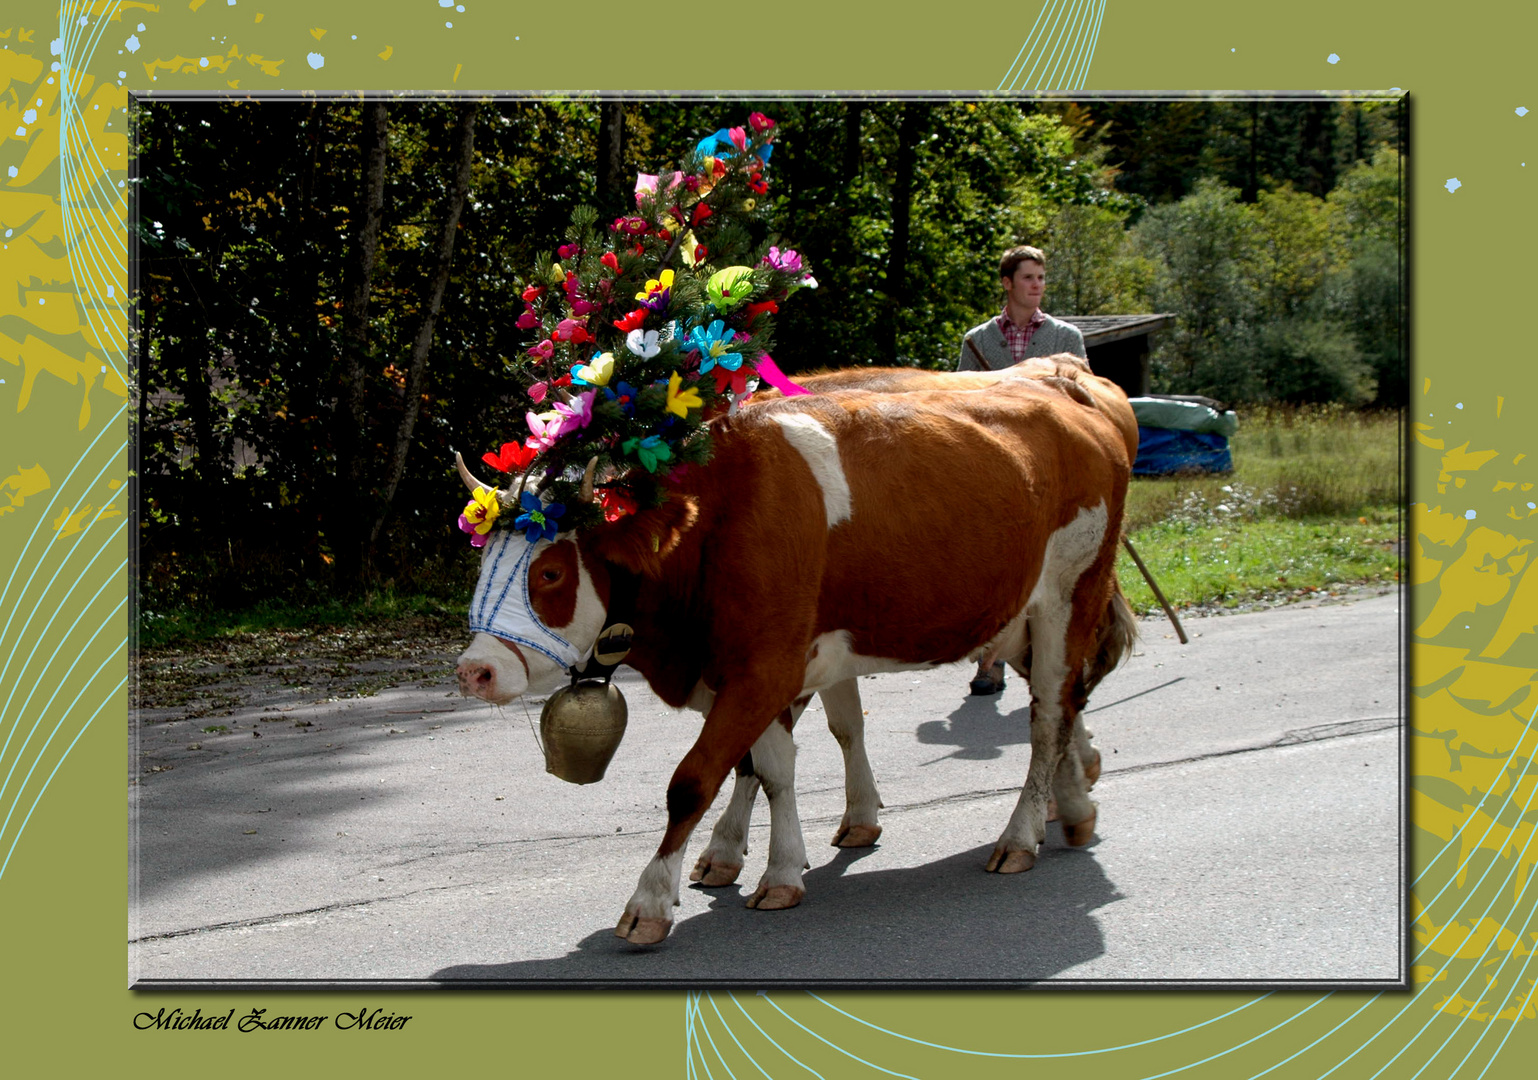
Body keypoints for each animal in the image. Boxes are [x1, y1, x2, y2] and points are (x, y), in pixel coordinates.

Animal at [455, 381, 1131, 947]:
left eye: (550, 572)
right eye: (482, 559)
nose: (474, 671)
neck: (716, 519)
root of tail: (1074, 396)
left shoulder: (764, 668)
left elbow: (692, 782)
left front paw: (649, 901)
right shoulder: (761, 671)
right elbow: (773, 769)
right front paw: (779, 871)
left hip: (1069, 596)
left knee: (1049, 718)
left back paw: (1021, 837)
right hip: (1018, 619)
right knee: (1066, 704)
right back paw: (1073, 809)